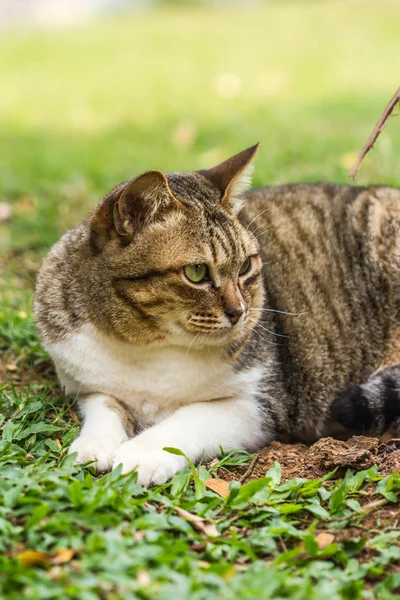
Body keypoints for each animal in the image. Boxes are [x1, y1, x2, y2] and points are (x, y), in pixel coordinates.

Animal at [33, 146, 400, 488]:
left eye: (246, 266)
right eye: (196, 272)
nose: (239, 312)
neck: (147, 348)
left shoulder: (260, 404)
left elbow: (188, 420)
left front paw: (141, 455)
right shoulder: (84, 383)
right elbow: (104, 408)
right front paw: (92, 447)